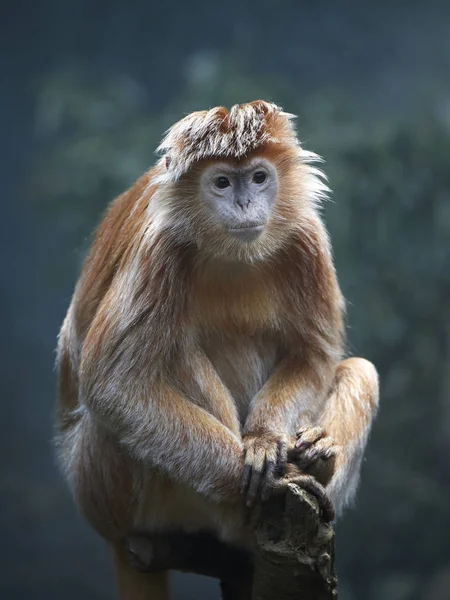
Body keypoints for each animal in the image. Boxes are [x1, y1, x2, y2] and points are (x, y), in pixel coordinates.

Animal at [56, 101, 380, 596]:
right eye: (222, 183)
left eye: (259, 178)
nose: (244, 204)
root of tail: (113, 535)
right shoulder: (160, 249)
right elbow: (113, 387)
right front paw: (268, 479)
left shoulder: (306, 238)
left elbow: (313, 356)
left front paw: (265, 441)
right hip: (109, 488)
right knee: (171, 353)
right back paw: (249, 514)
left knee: (360, 370)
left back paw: (319, 461)